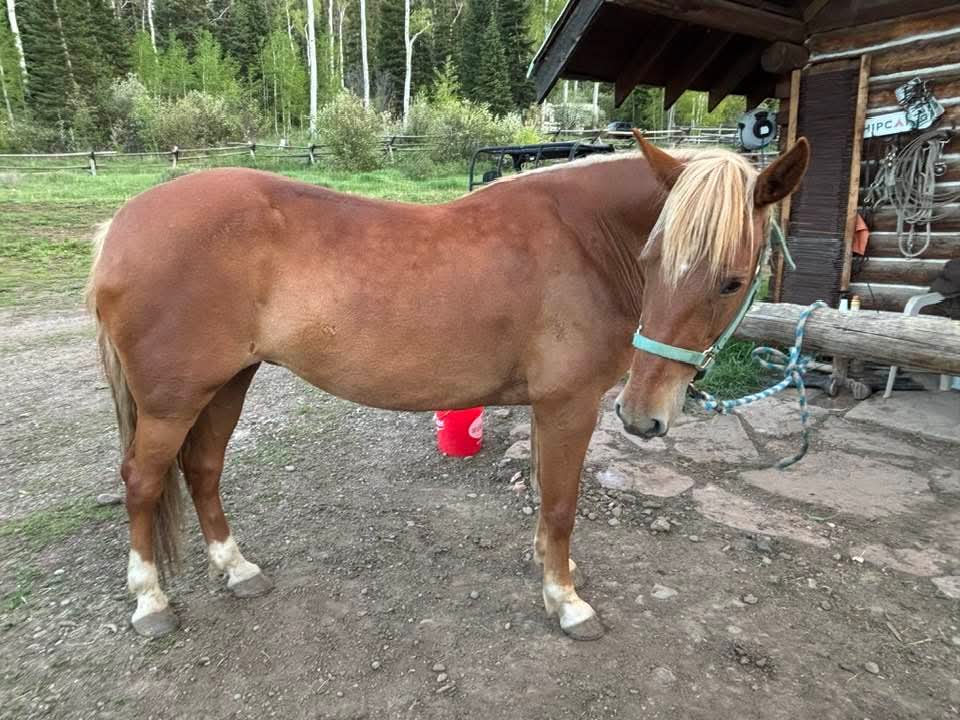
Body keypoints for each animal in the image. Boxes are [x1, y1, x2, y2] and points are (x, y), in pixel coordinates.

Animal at [87, 130, 810, 640]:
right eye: (651, 259)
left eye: (731, 281)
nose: (641, 417)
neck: (583, 241)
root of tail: (118, 226)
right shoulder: (569, 405)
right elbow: (561, 504)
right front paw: (568, 603)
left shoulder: (548, 408)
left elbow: (545, 497)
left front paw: (551, 574)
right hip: (172, 402)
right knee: (144, 483)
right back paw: (150, 602)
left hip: (226, 384)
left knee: (203, 470)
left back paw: (237, 570)